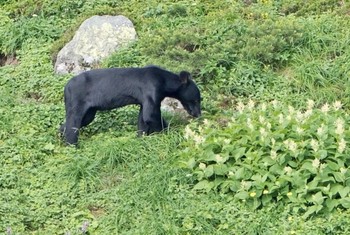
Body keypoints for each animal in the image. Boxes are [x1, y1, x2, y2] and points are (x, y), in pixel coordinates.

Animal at [59, 64, 201, 145]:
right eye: (196, 100)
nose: (198, 114)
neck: (164, 81)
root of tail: (66, 88)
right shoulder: (151, 88)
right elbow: (150, 115)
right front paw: (168, 133)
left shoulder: (144, 98)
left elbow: (143, 117)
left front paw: (141, 136)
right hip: (77, 99)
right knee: (74, 122)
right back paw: (72, 145)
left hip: (90, 110)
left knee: (78, 121)